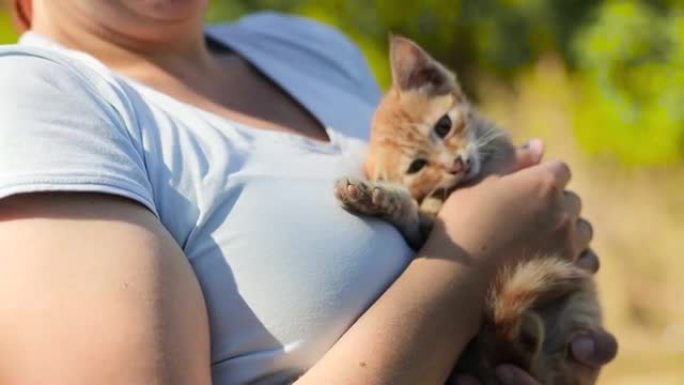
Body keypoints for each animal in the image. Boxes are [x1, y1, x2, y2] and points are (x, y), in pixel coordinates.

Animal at [334, 36, 608, 384]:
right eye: (417, 166)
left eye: (444, 125)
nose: (456, 165)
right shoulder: (420, 231)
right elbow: (413, 211)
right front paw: (375, 195)